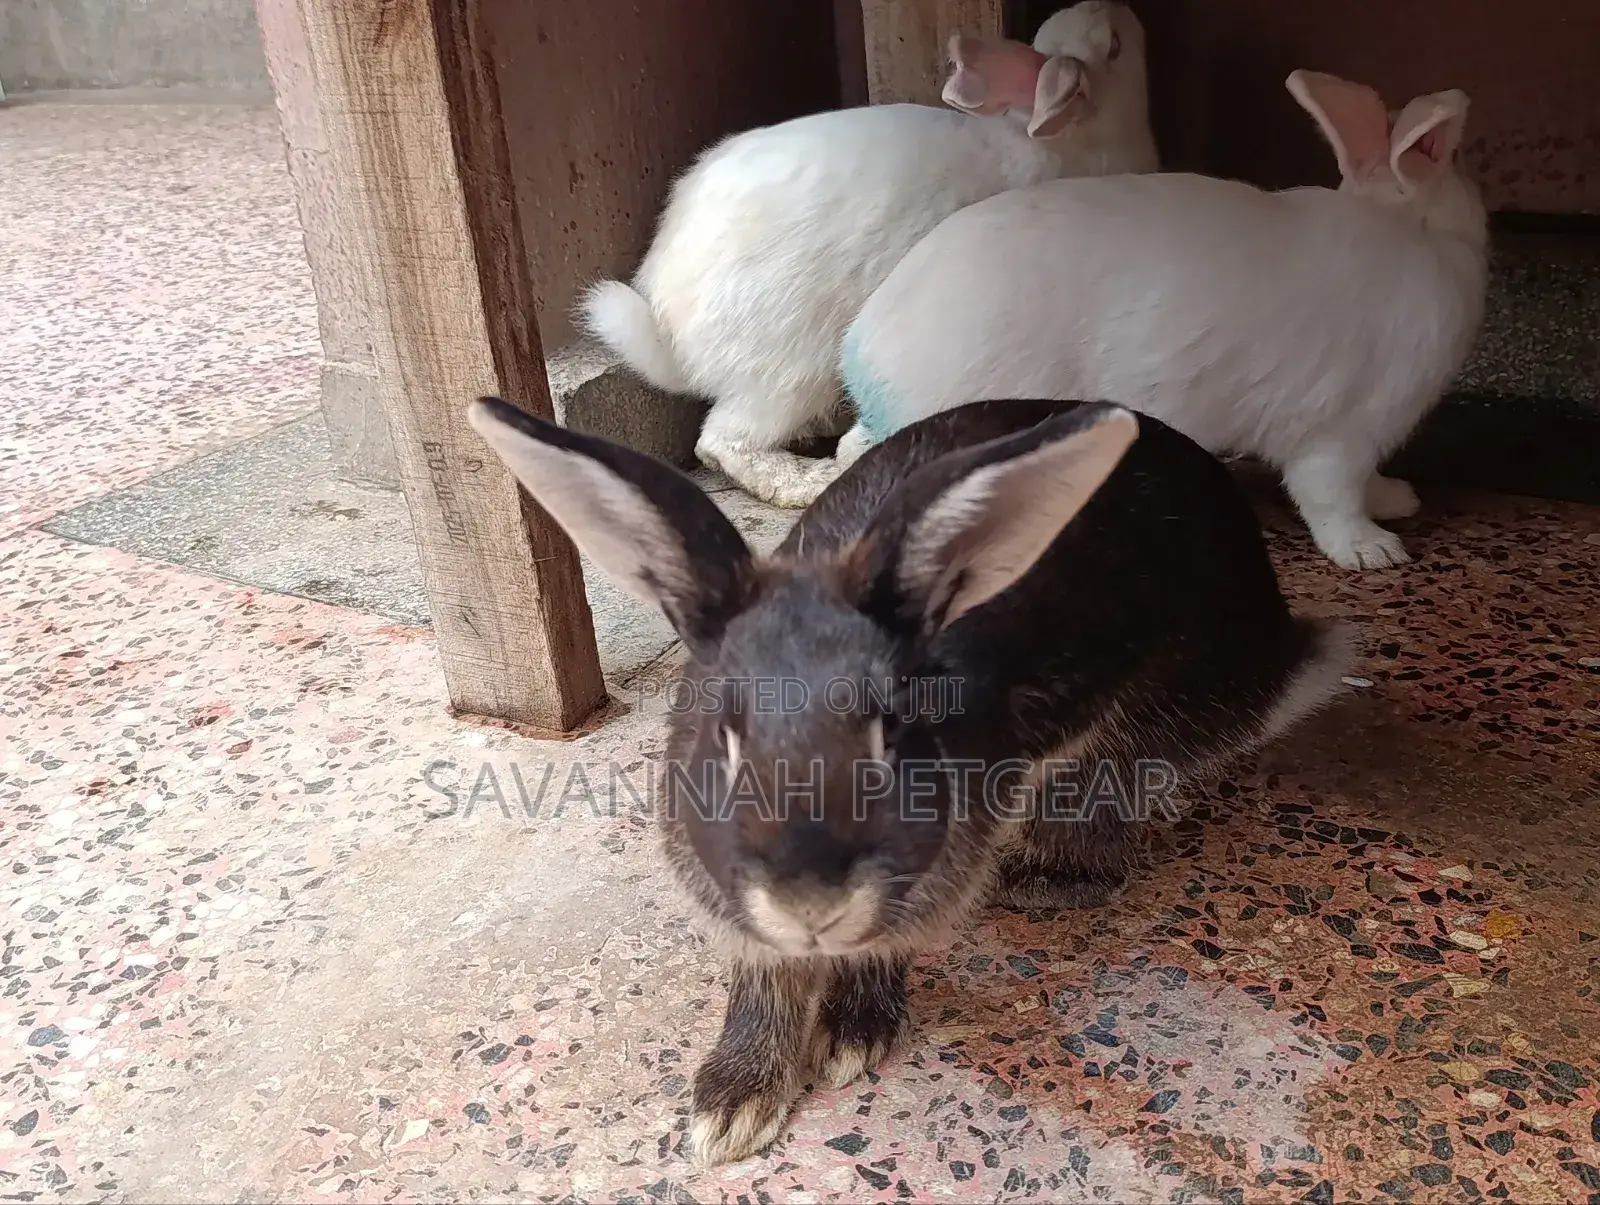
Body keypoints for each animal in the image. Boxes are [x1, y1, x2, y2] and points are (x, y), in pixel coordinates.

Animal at [467, 391, 1353, 1165]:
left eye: (891, 727)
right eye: (726, 728)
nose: (809, 902)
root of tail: (1278, 647)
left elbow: (875, 952)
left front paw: (851, 1038)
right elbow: (765, 981)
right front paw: (733, 1106)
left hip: (1133, 729)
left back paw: (1043, 877)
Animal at [578, 0, 1157, 509]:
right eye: (1115, 46)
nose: (1123, 9)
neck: (1070, 140)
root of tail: (672, 336)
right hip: (789, 374)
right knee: (722, 441)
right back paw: (807, 481)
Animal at [835, 70, 1490, 571]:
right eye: (1456, 157)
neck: (1413, 233)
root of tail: (864, 350)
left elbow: (1367, 485)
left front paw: (1398, 499)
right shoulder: (1340, 432)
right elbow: (1331, 497)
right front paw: (1373, 552)